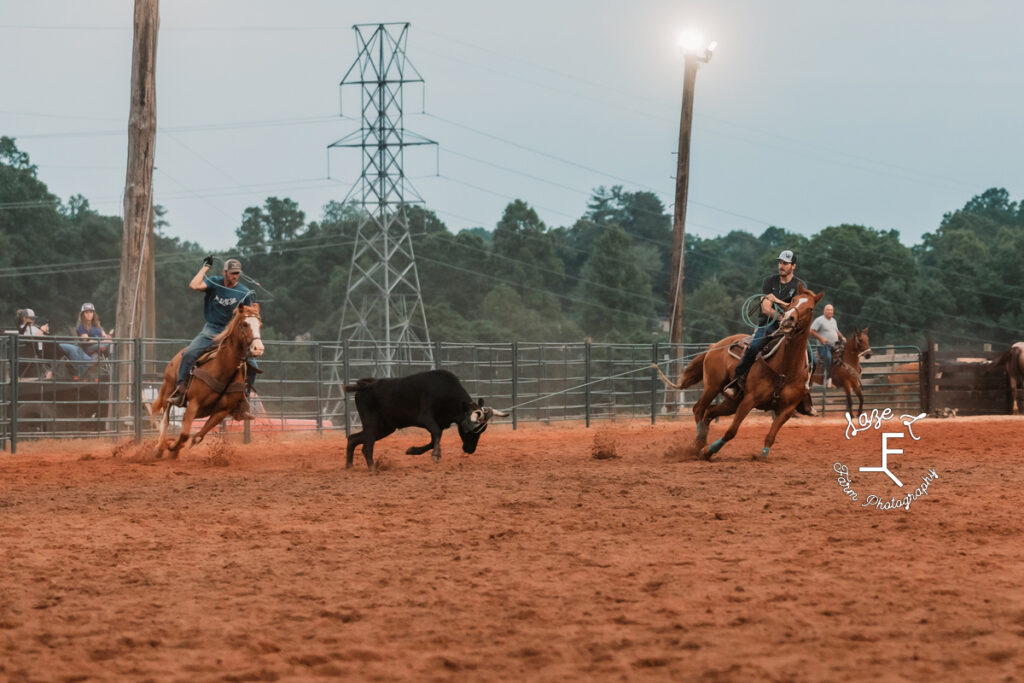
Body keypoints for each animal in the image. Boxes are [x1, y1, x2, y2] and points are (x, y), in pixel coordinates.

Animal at [150, 305, 266, 458]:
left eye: (260, 325)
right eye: (245, 324)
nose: (258, 348)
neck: (223, 369)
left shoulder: (222, 411)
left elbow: (198, 436)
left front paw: (175, 449)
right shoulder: (194, 402)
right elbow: (184, 434)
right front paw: (171, 447)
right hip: (168, 388)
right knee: (165, 418)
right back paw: (159, 448)